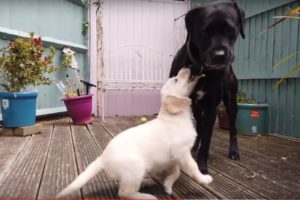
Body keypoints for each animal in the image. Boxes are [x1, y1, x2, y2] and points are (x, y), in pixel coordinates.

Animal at [57, 68, 212, 198]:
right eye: (176, 79)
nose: (187, 67)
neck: (176, 116)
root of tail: (102, 158)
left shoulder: (173, 158)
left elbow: (176, 172)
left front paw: (168, 185)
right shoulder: (182, 151)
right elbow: (193, 167)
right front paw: (204, 179)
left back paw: (147, 182)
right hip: (135, 169)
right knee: (124, 193)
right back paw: (147, 197)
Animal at [170, 0, 245, 173]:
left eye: (230, 30)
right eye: (205, 31)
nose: (220, 56)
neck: (200, 70)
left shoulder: (211, 107)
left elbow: (207, 139)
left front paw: (202, 166)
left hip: (231, 102)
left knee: (232, 128)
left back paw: (234, 151)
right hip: (197, 107)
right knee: (199, 126)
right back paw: (195, 146)